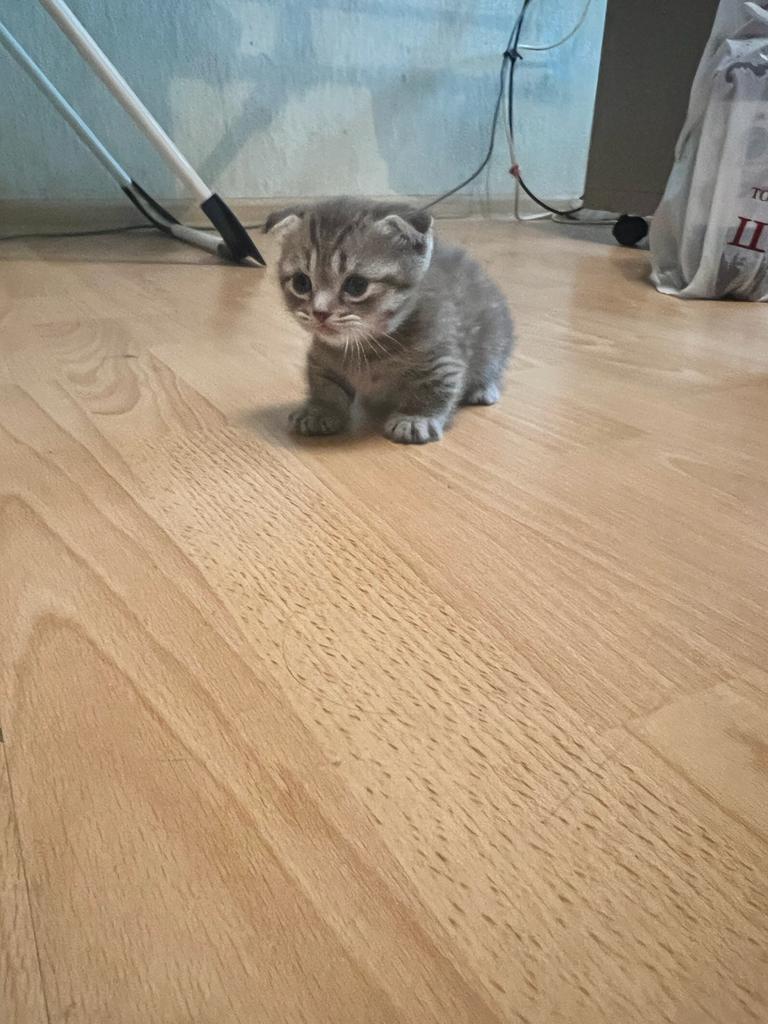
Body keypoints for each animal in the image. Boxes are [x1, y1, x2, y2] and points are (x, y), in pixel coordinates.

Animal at [265, 197, 514, 444]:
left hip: (496, 338)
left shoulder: (442, 360)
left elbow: (434, 388)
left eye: (357, 285)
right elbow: (324, 385)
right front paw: (320, 410)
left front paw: (415, 418)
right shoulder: (321, 358)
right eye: (301, 283)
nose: (320, 312)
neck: (367, 348)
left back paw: (483, 388)